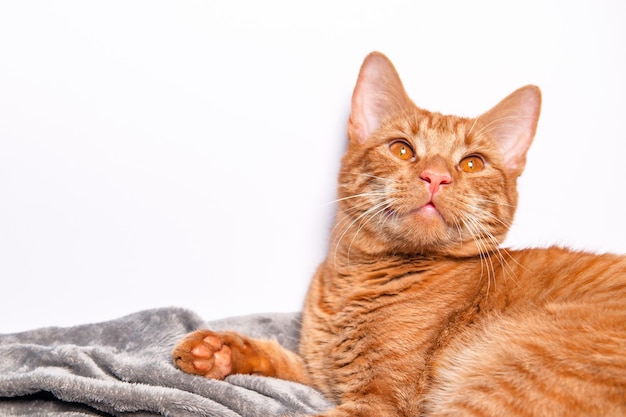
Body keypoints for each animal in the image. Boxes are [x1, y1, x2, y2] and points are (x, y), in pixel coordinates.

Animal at [171, 52, 624, 416]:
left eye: (472, 163)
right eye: (402, 149)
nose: (436, 176)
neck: (352, 281)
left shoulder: (377, 403)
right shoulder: (321, 375)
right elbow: (280, 358)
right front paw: (217, 351)